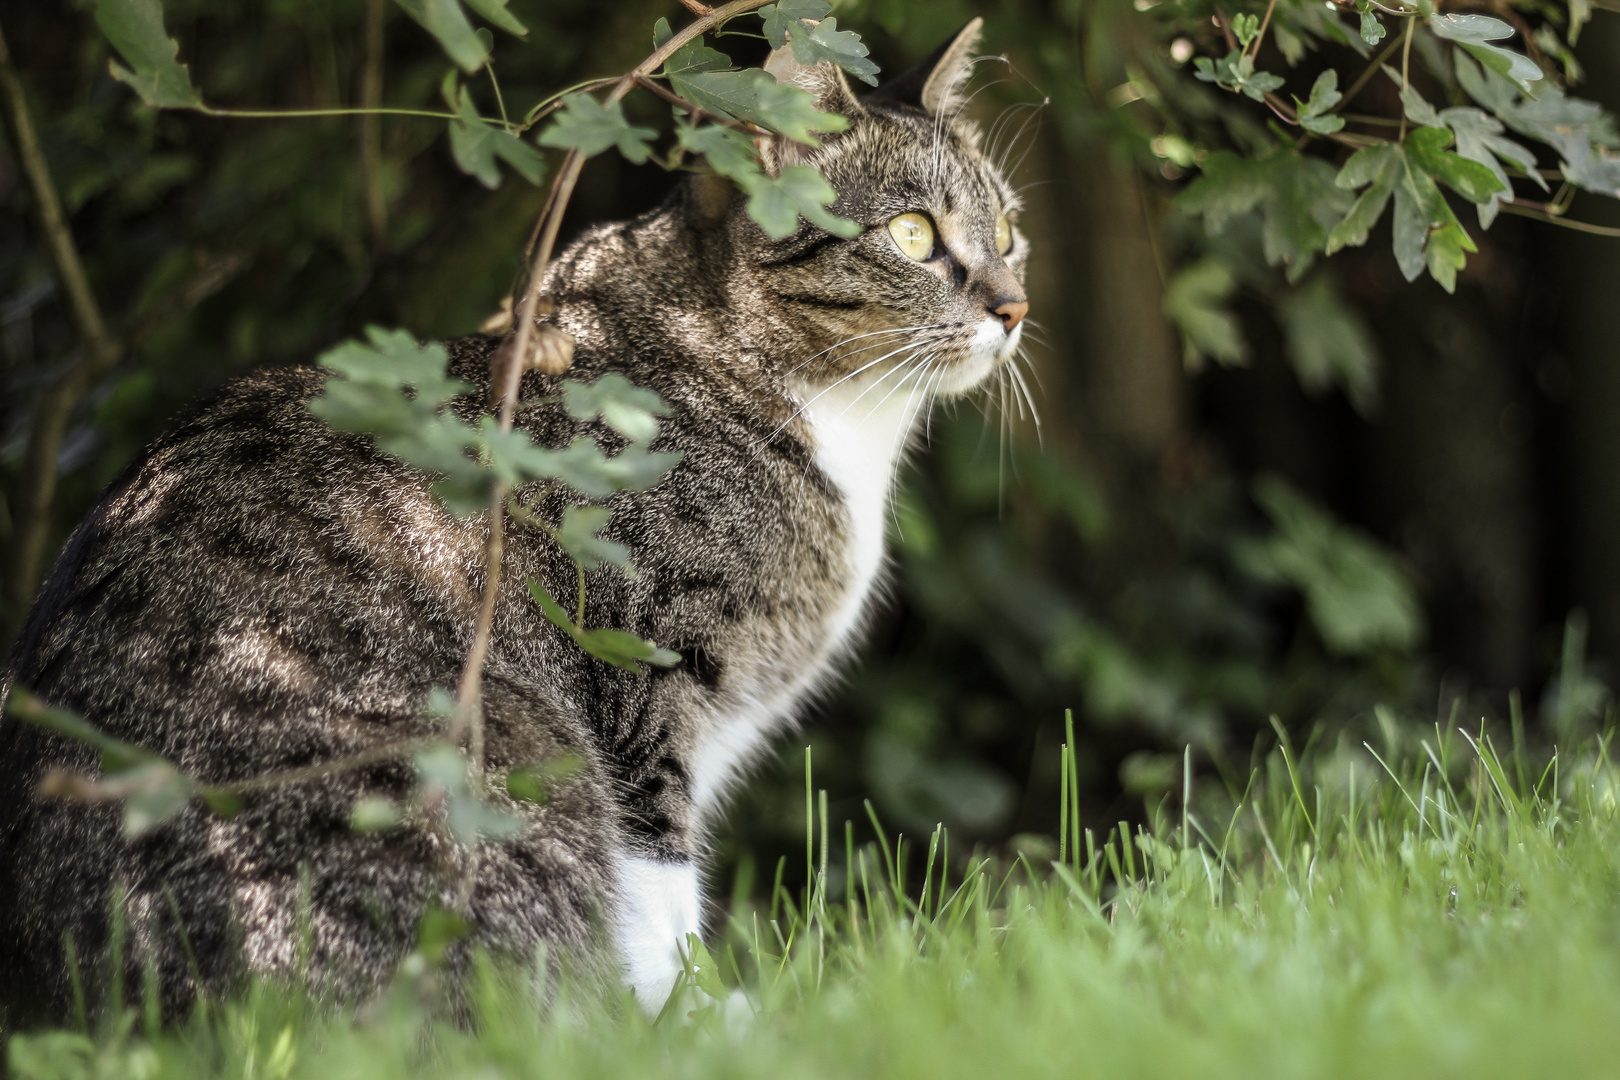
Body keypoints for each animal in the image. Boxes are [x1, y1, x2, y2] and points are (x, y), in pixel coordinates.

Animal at [0, 23, 1030, 1023]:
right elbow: (653, 876)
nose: (1015, 306)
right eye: (913, 233)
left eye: (1008, 230)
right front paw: (696, 1021)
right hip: (505, 756)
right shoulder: (636, 668)